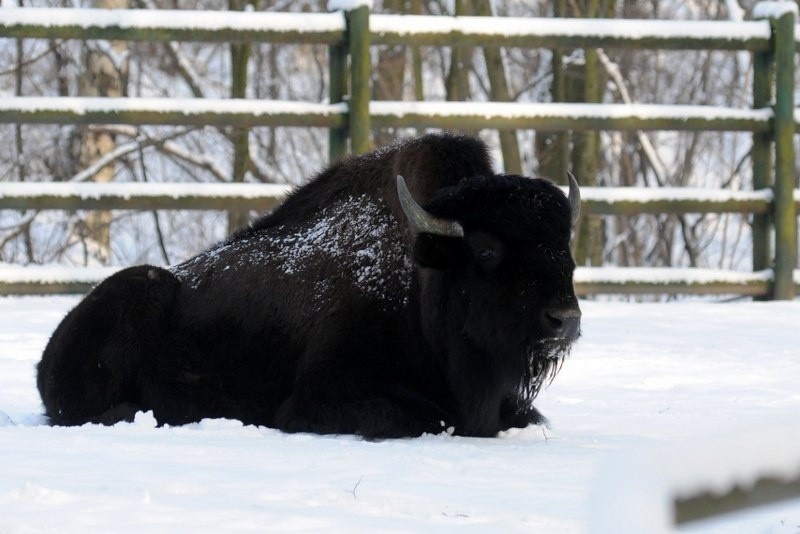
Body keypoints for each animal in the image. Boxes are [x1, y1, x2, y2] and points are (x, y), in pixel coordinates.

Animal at [36, 133, 580, 440]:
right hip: (139, 289)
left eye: (564, 242)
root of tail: (47, 356)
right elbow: (411, 416)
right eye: (486, 248)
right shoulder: (316, 396)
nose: (565, 321)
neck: (421, 281)